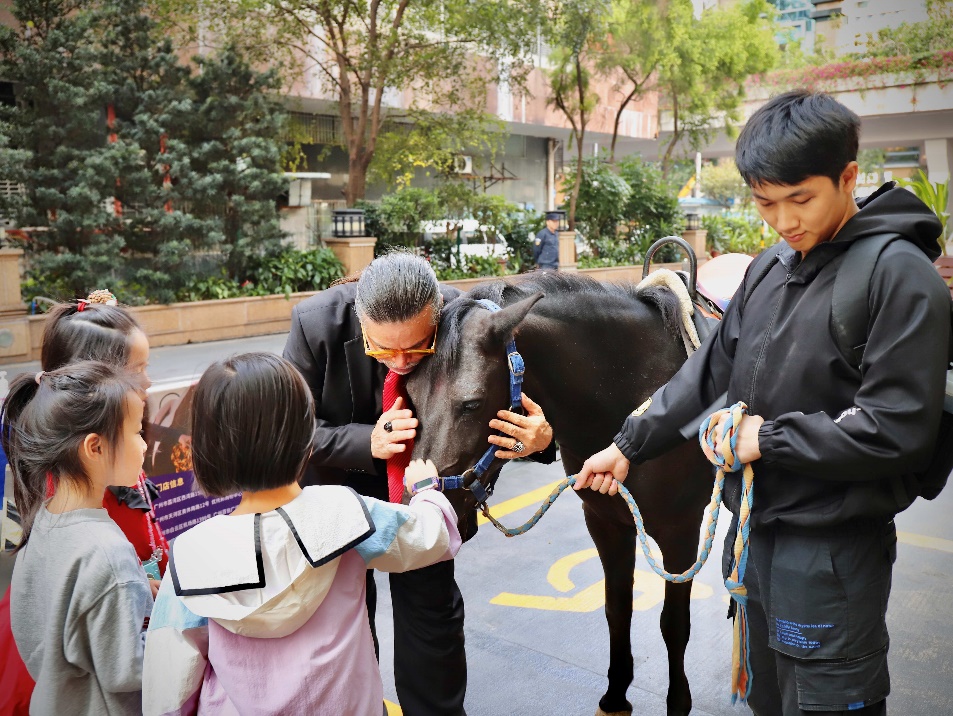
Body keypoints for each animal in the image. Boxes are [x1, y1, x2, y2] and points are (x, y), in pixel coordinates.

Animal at [408, 272, 712, 716]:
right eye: (410, 394)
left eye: (471, 404)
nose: (421, 507)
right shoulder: (606, 522)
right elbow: (617, 607)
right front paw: (616, 694)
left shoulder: (681, 533)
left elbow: (675, 624)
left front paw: (678, 702)